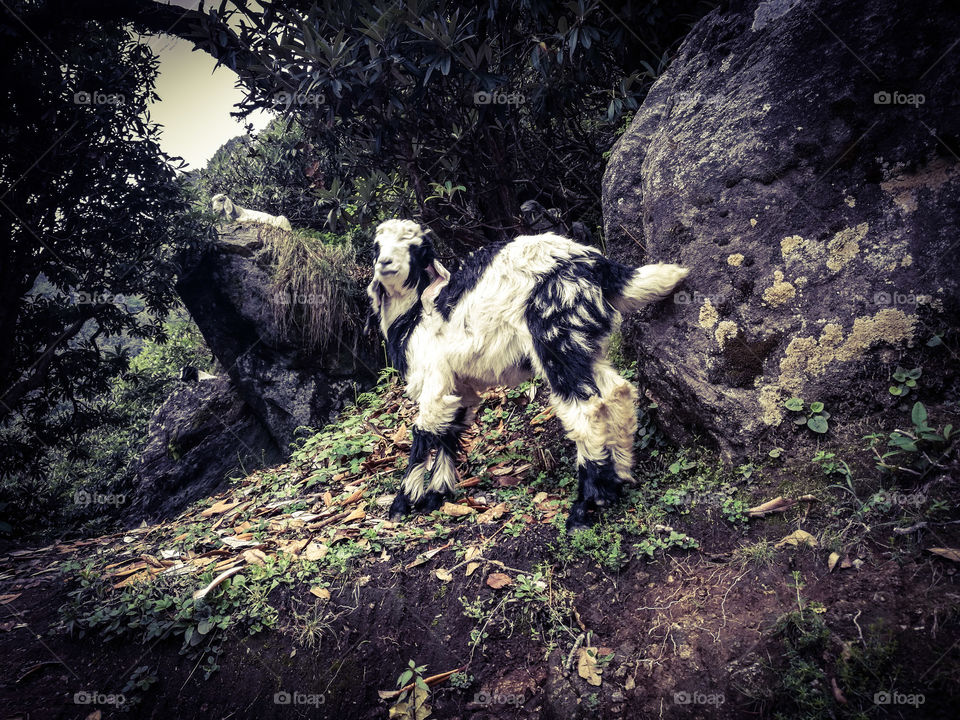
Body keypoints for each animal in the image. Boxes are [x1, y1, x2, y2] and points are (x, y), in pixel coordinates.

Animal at [368, 219, 688, 528]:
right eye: (377, 246)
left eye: (417, 249)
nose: (385, 263)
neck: (412, 315)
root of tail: (595, 263)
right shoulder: (459, 384)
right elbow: (450, 430)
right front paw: (437, 493)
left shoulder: (434, 376)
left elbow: (423, 431)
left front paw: (403, 503)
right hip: (584, 343)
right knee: (616, 392)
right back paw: (618, 476)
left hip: (555, 337)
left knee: (587, 409)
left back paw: (586, 505)